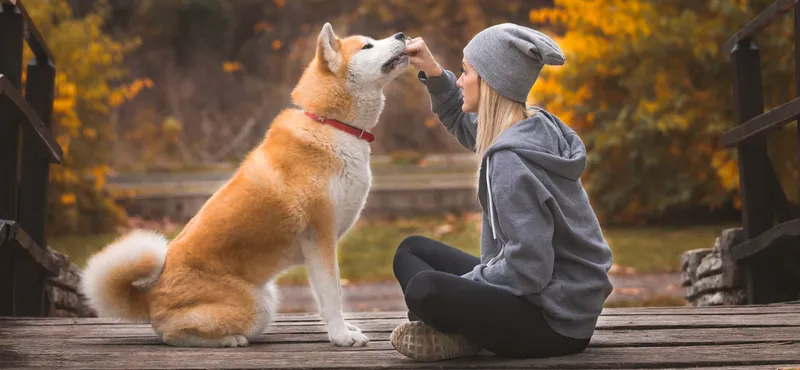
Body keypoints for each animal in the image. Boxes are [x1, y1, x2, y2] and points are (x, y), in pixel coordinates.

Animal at [79, 22, 410, 346]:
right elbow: (333, 296)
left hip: (268, 296)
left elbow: (329, 294)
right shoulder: (320, 238)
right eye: (367, 45)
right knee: (172, 334)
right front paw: (341, 337)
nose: (401, 34)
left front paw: (343, 330)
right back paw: (229, 340)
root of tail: (149, 297)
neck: (331, 124)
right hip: (258, 306)